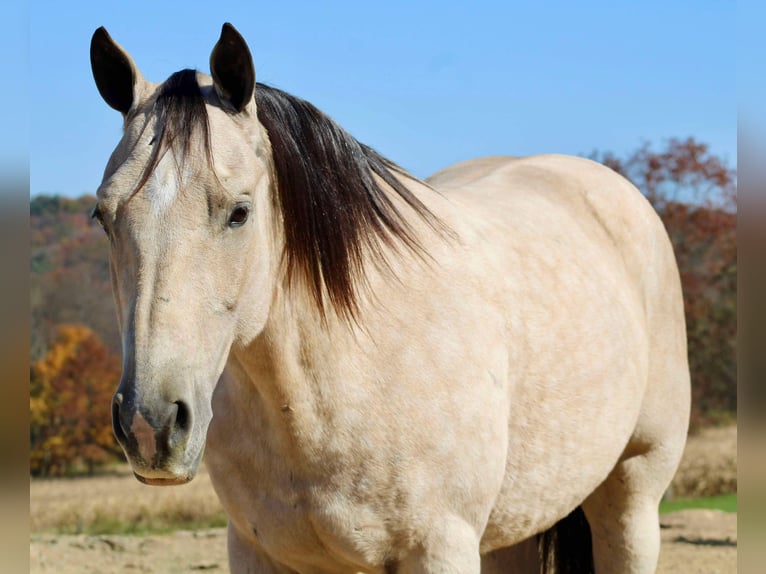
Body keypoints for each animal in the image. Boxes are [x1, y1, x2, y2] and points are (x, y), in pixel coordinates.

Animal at [88, 23, 688, 574]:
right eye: (103, 216)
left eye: (238, 212)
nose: (150, 424)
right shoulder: (260, 551)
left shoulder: (439, 548)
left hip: (629, 499)